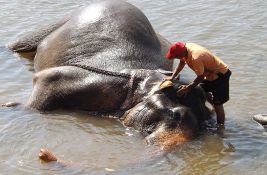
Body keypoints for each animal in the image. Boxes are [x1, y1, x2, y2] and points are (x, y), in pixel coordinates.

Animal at [8, 0, 213, 156]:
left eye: (200, 128)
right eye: (176, 115)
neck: (146, 80)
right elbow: (45, 81)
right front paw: (12, 106)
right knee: (19, 44)